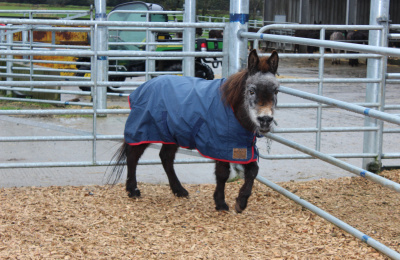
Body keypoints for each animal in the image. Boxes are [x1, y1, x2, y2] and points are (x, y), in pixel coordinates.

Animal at [108, 49, 280, 212]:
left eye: (276, 91)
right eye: (251, 91)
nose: (265, 120)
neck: (231, 109)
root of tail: (144, 86)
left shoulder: (242, 147)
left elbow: (253, 171)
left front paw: (241, 202)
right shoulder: (218, 146)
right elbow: (222, 174)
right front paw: (221, 203)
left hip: (172, 135)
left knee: (166, 158)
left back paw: (179, 190)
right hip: (144, 130)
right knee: (133, 156)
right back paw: (133, 190)